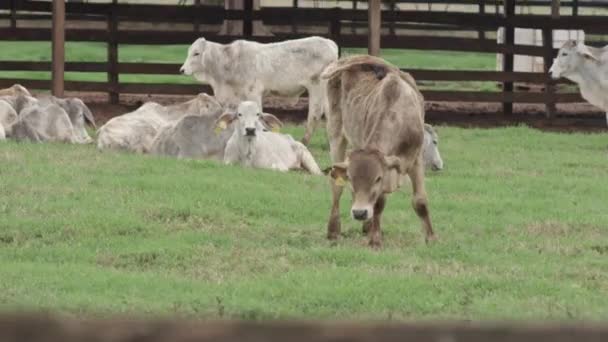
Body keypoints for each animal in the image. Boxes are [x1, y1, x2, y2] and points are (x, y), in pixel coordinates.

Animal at [180, 35, 342, 145]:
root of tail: (330, 43)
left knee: (315, 113)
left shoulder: (254, 92)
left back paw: (304, 141)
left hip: (317, 87)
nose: (182, 70)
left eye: (196, 53)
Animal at [320, 56, 434, 248]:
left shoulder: (416, 159)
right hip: (335, 134)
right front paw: (375, 239)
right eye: (350, 178)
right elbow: (379, 202)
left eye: (377, 178)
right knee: (336, 188)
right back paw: (334, 230)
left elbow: (420, 201)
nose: (359, 213)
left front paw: (431, 238)